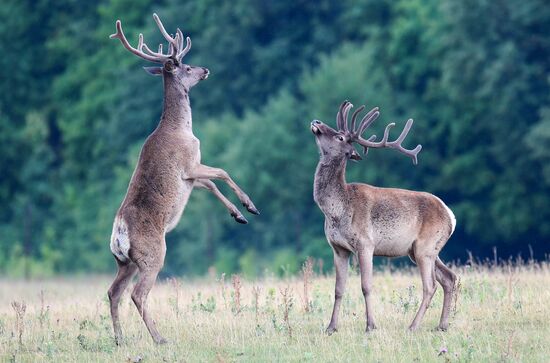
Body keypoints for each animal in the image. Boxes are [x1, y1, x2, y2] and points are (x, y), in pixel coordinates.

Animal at [109, 13, 260, 344]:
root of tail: (119, 233)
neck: (180, 128)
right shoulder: (189, 164)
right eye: (186, 66)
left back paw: (120, 339)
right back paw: (160, 338)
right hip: (153, 254)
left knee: (113, 292)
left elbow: (213, 183)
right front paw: (250, 206)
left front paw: (238, 215)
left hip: (124, 261)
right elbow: (222, 173)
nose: (205, 69)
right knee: (137, 294)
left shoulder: (191, 178)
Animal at [312, 101, 460, 334]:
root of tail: (451, 216)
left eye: (340, 137)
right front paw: (331, 327)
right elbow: (338, 289)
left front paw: (371, 326)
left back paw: (413, 326)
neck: (337, 210)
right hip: (423, 249)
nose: (316, 122)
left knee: (430, 286)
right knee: (449, 277)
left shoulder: (365, 243)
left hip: (425, 247)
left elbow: (366, 286)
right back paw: (442, 325)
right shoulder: (338, 248)